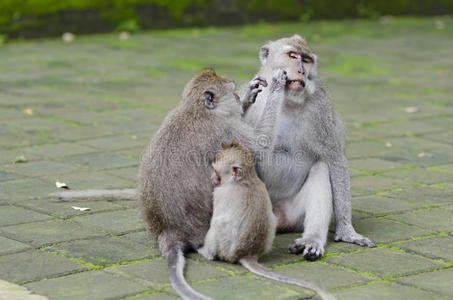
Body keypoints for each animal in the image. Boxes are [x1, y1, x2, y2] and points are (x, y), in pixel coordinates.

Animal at [199, 141, 336, 300]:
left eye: (216, 170)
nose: (211, 178)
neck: (246, 178)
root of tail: (248, 254)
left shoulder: (220, 193)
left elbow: (217, 221)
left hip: (226, 249)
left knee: (217, 228)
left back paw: (206, 253)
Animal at [240, 34, 374, 262]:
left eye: (307, 60)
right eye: (292, 56)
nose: (302, 70)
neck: (287, 102)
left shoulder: (321, 107)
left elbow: (334, 159)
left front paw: (346, 231)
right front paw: (247, 98)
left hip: (295, 215)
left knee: (321, 168)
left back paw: (311, 241)